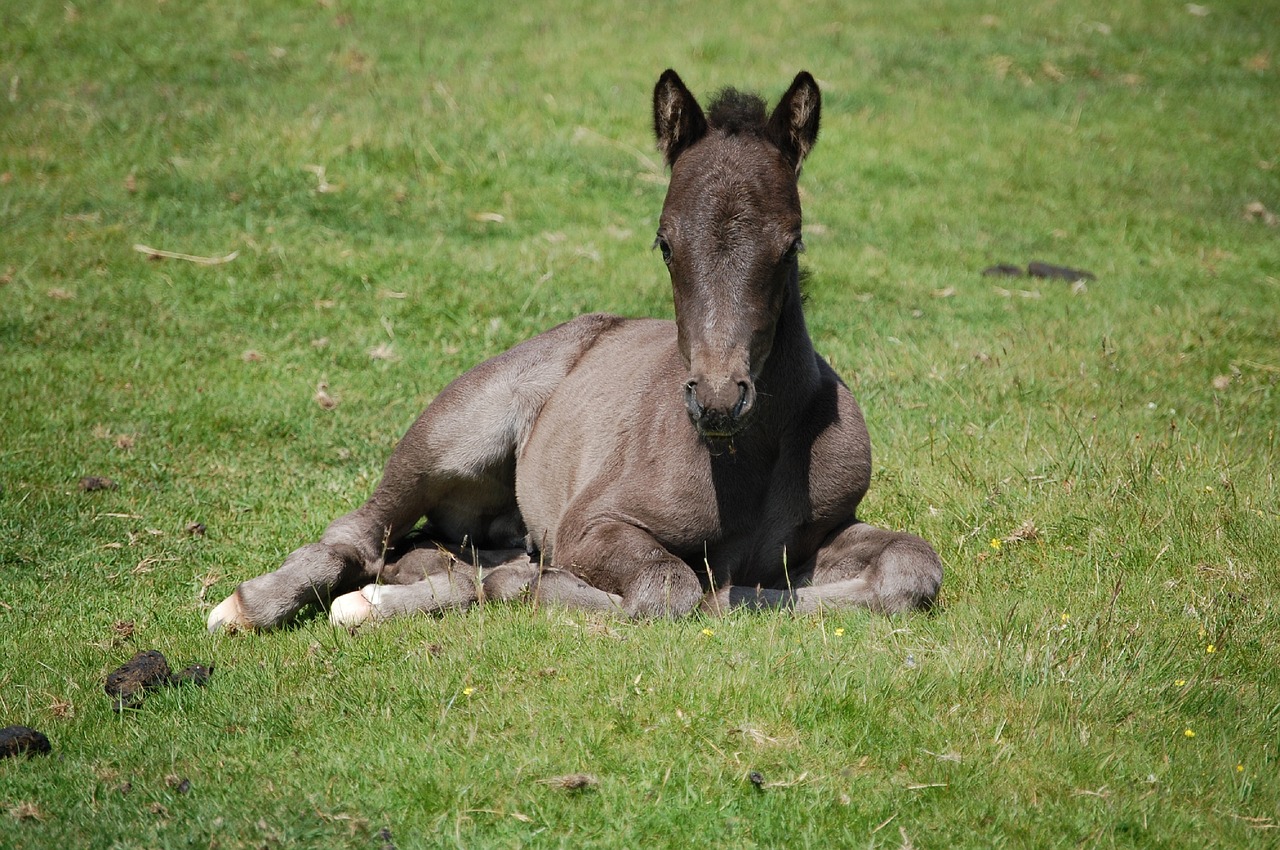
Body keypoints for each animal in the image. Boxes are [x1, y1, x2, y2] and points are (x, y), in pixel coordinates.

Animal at [207, 69, 942, 629]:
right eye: (665, 242)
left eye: (791, 244)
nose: (717, 399)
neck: (744, 462)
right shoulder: (591, 525)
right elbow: (669, 589)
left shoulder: (823, 531)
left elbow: (912, 567)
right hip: (455, 432)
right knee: (362, 532)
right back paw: (252, 605)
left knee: (434, 553)